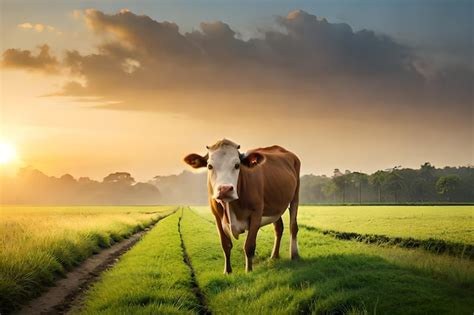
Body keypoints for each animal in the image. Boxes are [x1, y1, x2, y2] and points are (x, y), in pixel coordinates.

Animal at [184, 139, 300, 274]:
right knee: (279, 228)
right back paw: (274, 256)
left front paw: (248, 271)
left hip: (295, 196)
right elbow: (225, 245)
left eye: (237, 165)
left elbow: (249, 245)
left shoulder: (256, 212)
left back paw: (294, 255)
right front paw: (227, 271)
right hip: (275, 205)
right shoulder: (217, 216)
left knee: (293, 226)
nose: (225, 189)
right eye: (209, 166)